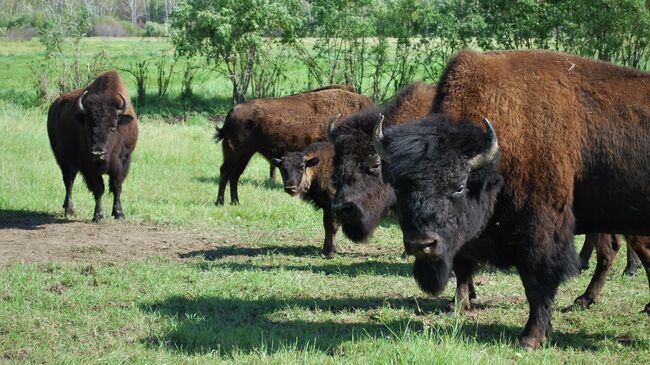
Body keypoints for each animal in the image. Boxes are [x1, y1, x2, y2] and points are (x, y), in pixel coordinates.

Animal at [46, 69, 138, 220]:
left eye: (113, 127)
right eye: (88, 125)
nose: (98, 153)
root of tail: (54, 106)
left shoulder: (123, 161)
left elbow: (117, 186)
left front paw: (119, 213)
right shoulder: (88, 165)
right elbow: (98, 188)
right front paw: (98, 215)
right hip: (63, 160)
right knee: (69, 181)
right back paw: (69, 210)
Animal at [215, 84, 372, 205]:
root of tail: (231, 113)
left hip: (244, 155)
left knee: (234, 175)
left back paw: (235, 202)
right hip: (237, 153)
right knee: (226, 172)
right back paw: (220, 202)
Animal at [370, 48, 648, 346]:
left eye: (459, 186)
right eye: (399, 187)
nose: (422, 244)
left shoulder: (539, 233)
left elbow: (536, 283)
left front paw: (530, 338)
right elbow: (465, 266)